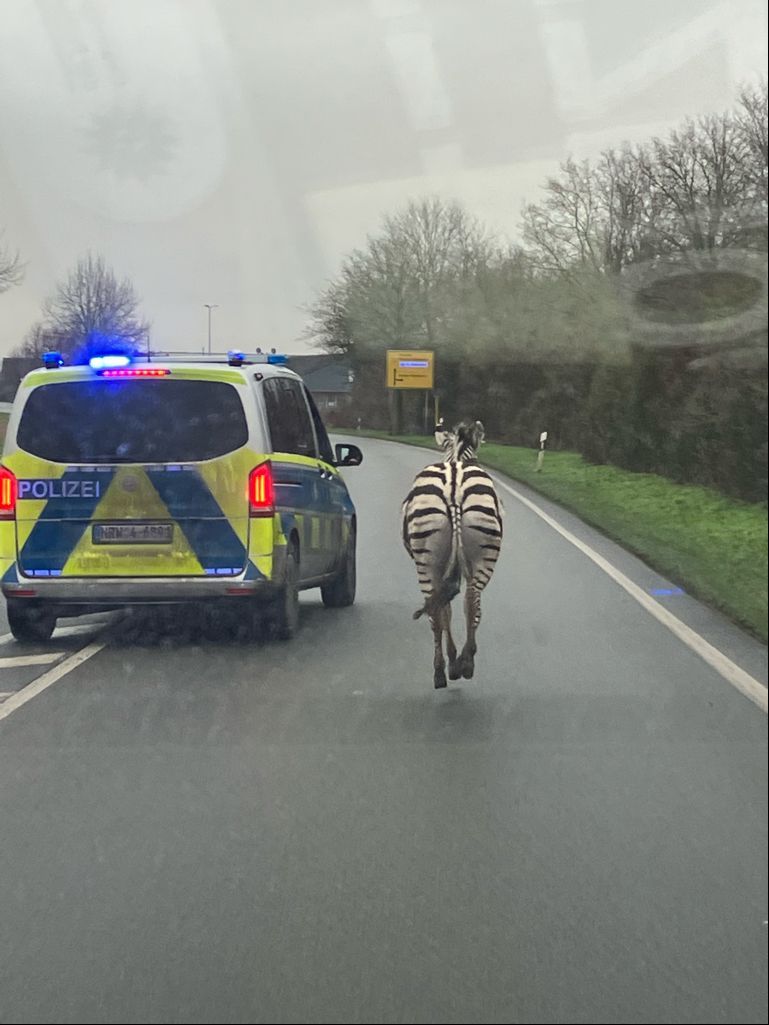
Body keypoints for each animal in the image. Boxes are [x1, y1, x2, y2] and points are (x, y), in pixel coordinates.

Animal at [401, 419, 503, 689]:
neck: (456, 457)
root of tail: (454, 488)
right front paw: (458, 660)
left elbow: (444, 612)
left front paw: (450, 660)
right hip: (484, 554)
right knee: (472, 602)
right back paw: (466, 663)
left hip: (427, 563)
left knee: (437, 612)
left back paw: (441, 671)